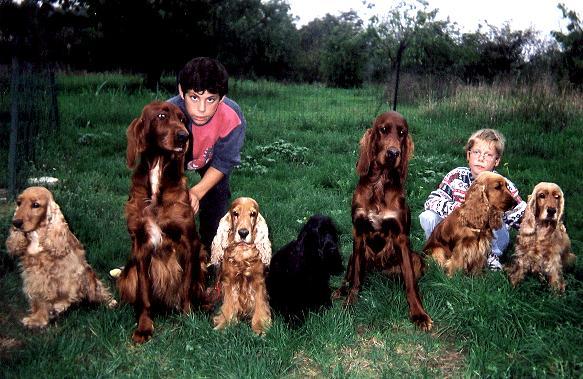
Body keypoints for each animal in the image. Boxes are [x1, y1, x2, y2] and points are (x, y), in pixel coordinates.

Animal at [5, 186, 117, 326]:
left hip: (89, 275)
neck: (38, 238)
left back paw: (109, 302)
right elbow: (39, 297)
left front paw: (55, 309)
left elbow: (63, 293)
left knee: (98, 291)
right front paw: (37, 319)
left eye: (36, 205)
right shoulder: (34, 274)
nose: (15, 222)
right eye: (19, 203)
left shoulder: (68, 273)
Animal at [115, 101, 206, 344]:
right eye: (162, 116)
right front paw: (144, 327)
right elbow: (145, 295)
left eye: (183, 119)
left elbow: (185, 287)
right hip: (128, 274)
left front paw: (187, 316)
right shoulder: (141, 245)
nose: (184, 137)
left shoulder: (190, 242)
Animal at [211, 199, 272, 336]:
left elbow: (260, 305)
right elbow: (228, 306)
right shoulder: (229, 281)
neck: (242, 252)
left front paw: (260, 327)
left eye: (253, 214)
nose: (243, 233)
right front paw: (224, 325)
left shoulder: (258, 282)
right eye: (235, 213)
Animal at [334, 111, 434, 332]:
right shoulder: (358, 233)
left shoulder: (401, 237)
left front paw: (419, 314)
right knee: (350, 274)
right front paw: (350, 302)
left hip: (416, 259)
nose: (393, 153)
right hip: (354, 254)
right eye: (383, 130)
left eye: (402, 133)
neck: (379, 183)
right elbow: (356, 277)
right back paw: (340, 291)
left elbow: (410, 282)